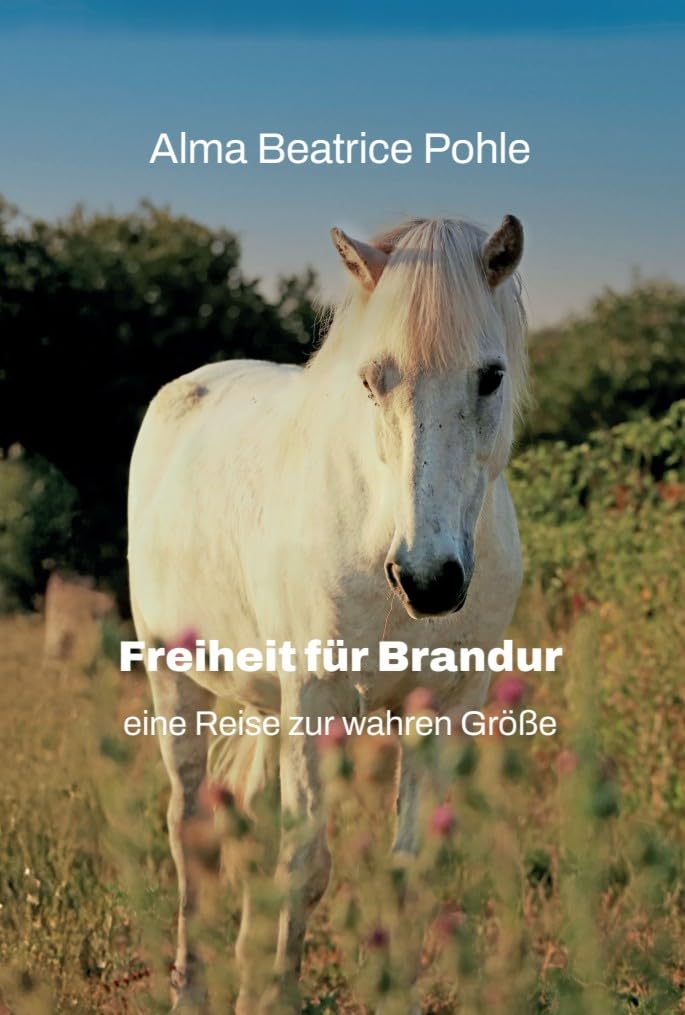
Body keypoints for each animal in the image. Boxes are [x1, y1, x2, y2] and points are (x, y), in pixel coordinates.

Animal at [127, 213, 528, 1013]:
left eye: (490, 375)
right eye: (373, 379)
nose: (427, 579)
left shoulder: (447, 707)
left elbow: (406, 875)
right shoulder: (315, 700)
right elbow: (306, 868)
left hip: (263, 702)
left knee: (244, 818)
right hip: (172, 676)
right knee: (190, 827)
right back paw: (194, 988)